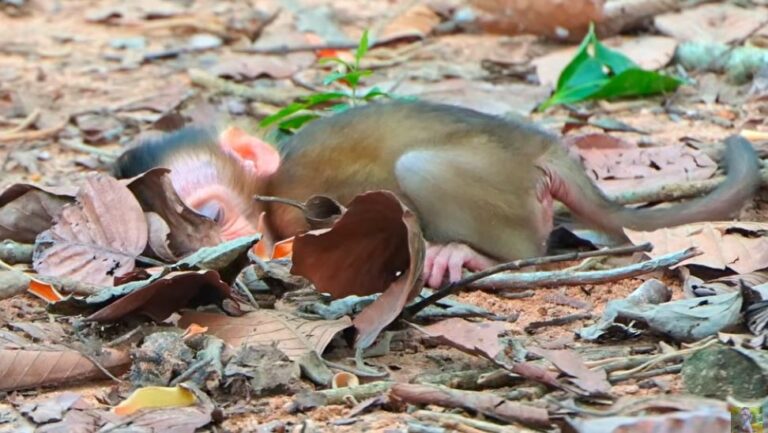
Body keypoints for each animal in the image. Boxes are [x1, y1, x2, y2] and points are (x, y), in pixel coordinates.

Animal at [113, 101, 762, 288]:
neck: (274, 187)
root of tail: (538, 146)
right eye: (176, 244)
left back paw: (478, 254)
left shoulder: (299, 201)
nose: (217, 252)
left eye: (211, 214)